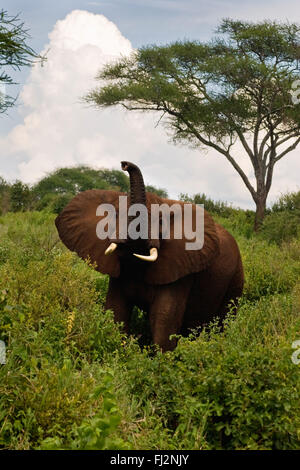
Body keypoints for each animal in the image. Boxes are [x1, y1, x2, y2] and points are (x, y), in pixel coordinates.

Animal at [55, 161, 244, 348]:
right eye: (116, 215)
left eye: (160, 222)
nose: (124, 164)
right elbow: (116, 309)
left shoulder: (182, 267)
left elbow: (164, 318)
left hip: (235, 278)